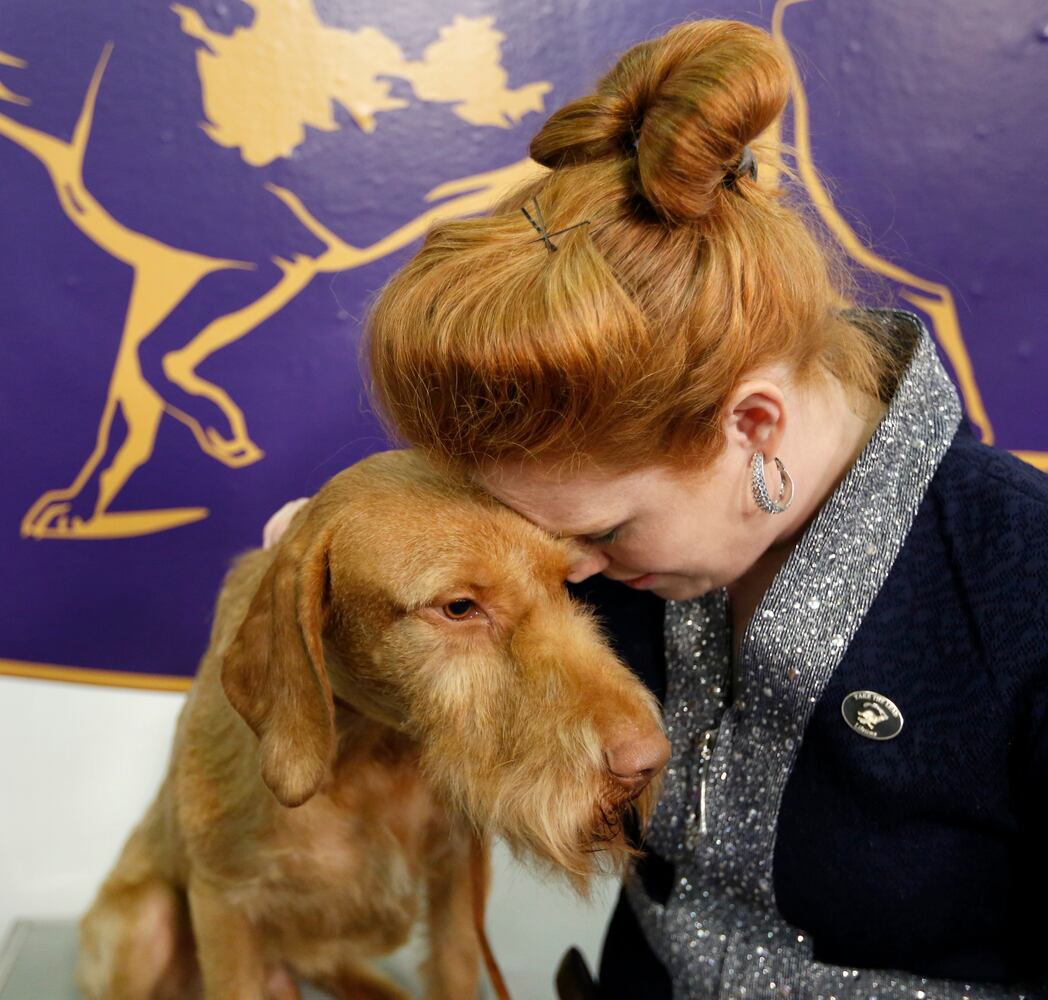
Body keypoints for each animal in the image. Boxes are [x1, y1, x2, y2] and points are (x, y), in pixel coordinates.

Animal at [79, 452, 670, 997]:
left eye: (565, 585)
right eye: (460, 607)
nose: (649, 760)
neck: (370, 749)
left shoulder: (457, 879)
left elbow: (456, 968)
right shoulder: (223, 904)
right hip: (145, 923)